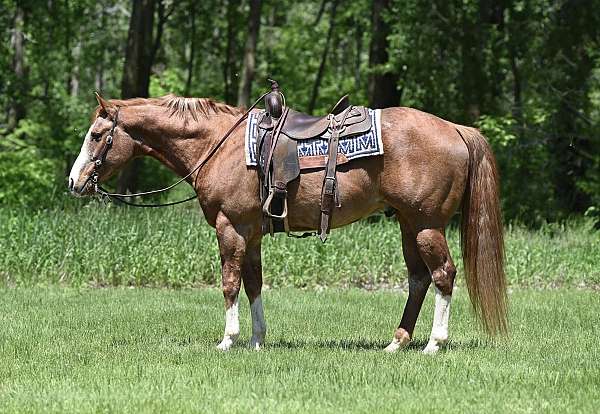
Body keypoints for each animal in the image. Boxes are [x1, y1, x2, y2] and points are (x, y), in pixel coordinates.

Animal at [69, 93, 506, 352]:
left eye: (97, 135)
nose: (74, 182)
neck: (220, 145)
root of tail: (455, 128)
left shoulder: (230, 228)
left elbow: (229, 284)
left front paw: (227, 340)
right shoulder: (250, 233)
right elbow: (253, 284)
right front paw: (257, 340)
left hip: (426, 224)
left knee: (443, 274)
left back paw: (434, 343)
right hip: (407, 224)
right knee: (418, 280)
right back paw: (397, 343)